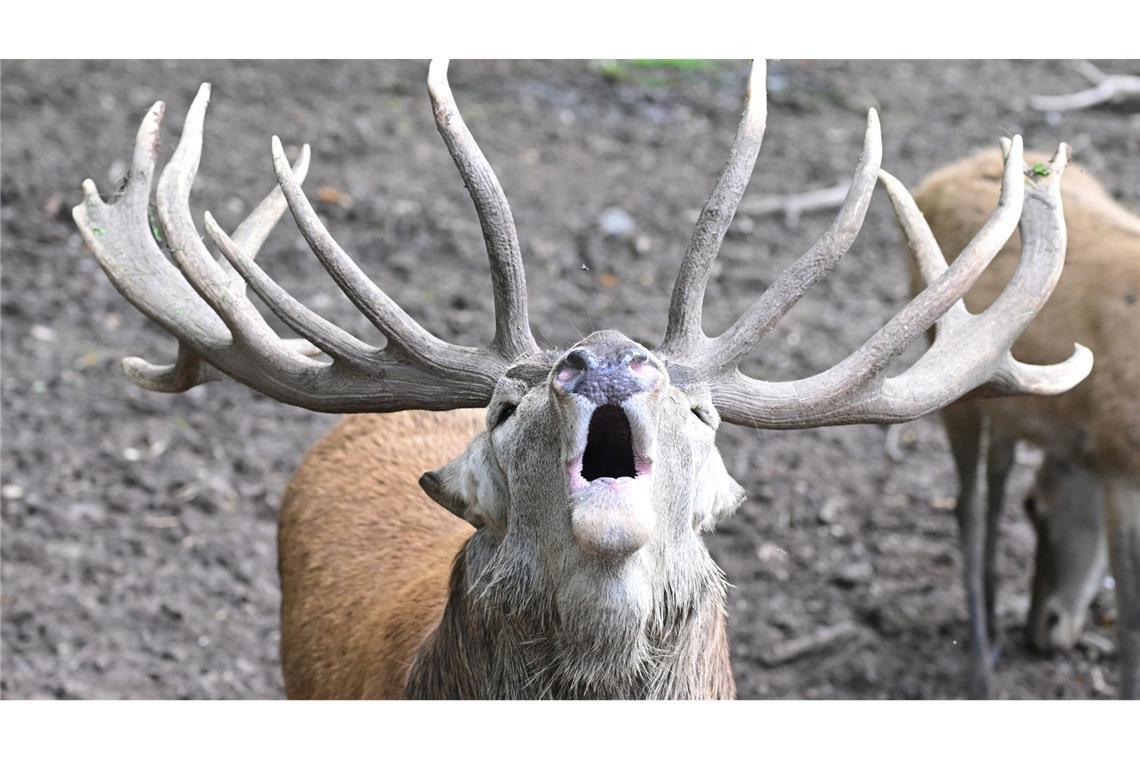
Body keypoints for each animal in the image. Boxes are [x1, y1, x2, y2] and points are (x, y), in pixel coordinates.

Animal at [911, 146, 1140, 698]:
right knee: (968, 507)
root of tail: (938, 177)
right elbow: (1130, 611)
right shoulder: (1119, 457)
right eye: (1032, 509)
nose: (1044, 631)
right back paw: (980, 665)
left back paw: (995, 625)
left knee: (995, 484)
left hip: (1006, 402)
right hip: (957, 392)